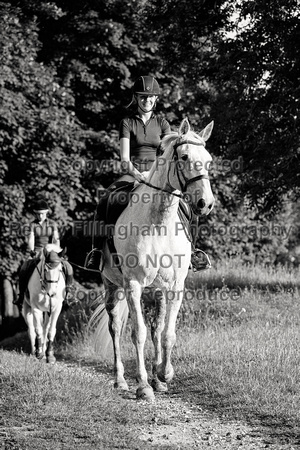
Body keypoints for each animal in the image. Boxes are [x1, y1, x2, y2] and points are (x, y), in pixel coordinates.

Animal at [92, 118, 214, 400]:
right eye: (184, 156)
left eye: (209, 160)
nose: (206, 203)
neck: (159, 223)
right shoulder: (133, 284)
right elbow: (138, 333)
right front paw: (143, 386)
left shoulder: (175, 286)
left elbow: (167, 334)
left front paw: (163, 374)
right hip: (112, 285)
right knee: (116, 327)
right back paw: (120, 381)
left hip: (156, 290)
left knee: (157, 327)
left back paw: (157, 378)